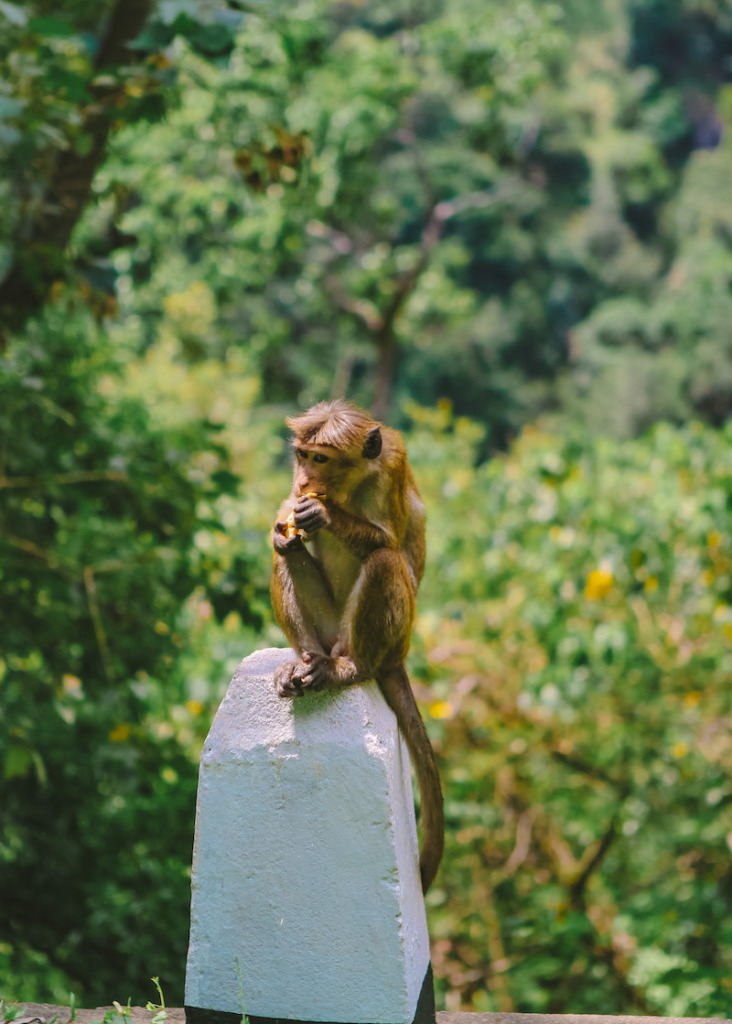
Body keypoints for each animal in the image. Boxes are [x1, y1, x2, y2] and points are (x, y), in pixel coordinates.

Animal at [272, 395, 444, 892]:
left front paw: (326, 516)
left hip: (381, 639)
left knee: (384, 560)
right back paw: (302, 662)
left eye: (321, 459)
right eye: (302, 456)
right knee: (286, 554)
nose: (304, 481)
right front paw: (286, 522)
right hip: (328, 629)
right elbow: (285, 527)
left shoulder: (392, 467)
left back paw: (346, 670)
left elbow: (387, 541)